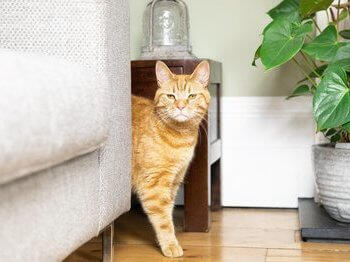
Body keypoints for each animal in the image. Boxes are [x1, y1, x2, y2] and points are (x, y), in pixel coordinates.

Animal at [132, 60, 211, 256]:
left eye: (191, 96)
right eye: (171, 96)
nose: (180, 106)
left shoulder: (174, 180)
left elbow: (168, 211)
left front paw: (161, 241)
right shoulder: (154, 186)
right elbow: (163, 220)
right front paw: (170, 244)